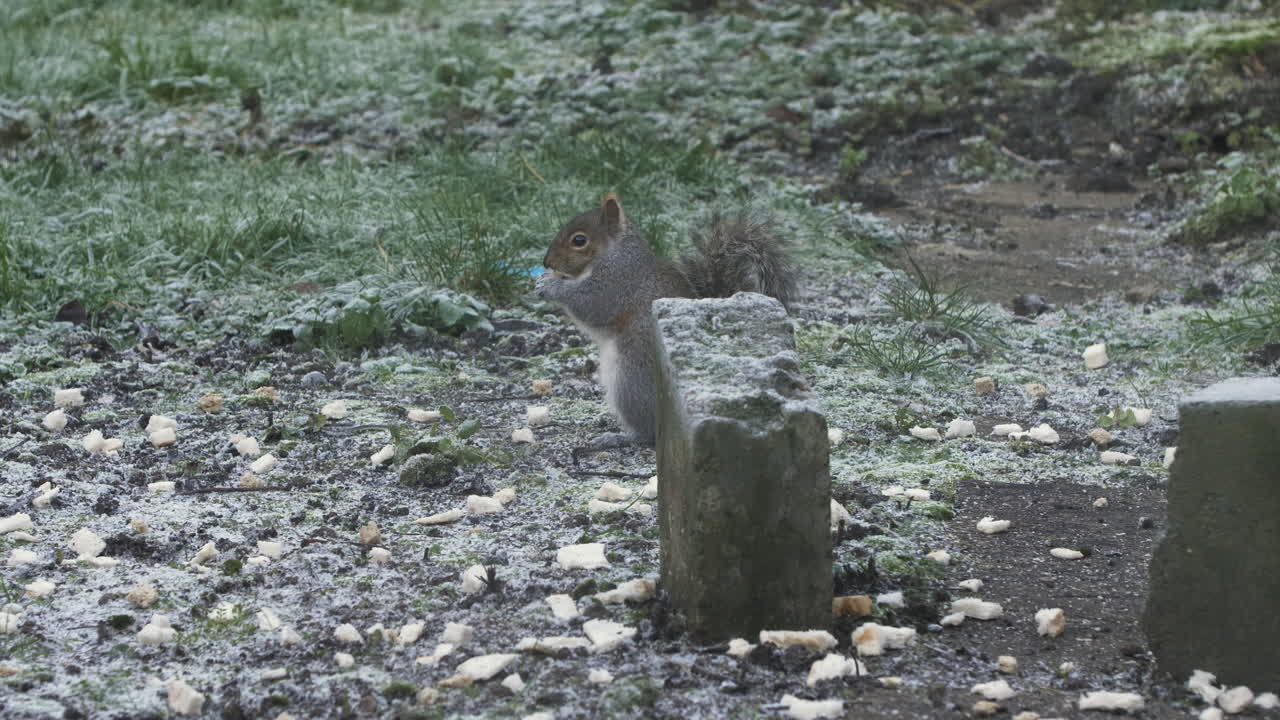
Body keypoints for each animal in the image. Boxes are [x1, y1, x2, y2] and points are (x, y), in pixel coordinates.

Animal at [535, 193, 796, 448]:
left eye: (579, 240)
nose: (546, 262)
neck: (615, 253)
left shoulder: (615, 284)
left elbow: (588, 304)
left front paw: (549, 285)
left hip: (631, 378)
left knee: (647, 432)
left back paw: (617, 438)